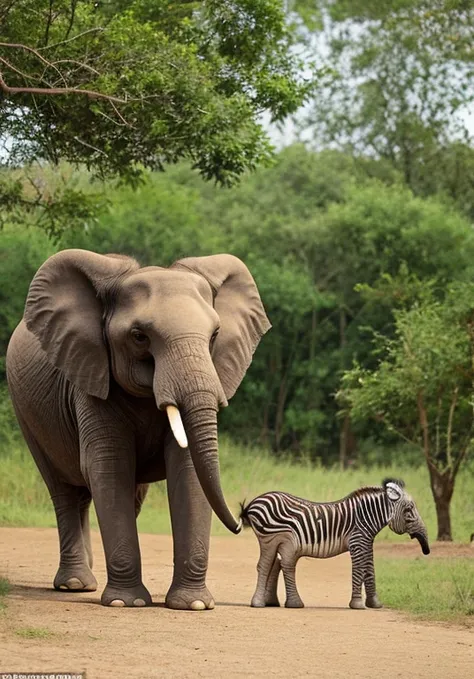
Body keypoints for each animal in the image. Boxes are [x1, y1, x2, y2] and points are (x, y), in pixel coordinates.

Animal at [6, 250, 270, 612]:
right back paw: (76, 584)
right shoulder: (91, 378)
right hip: (26, 414)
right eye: (139, 336)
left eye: (215, 334)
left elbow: (188, 469)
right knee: (64, 490)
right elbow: (109, 466)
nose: (241, 521)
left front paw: (193, 605)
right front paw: (125, 603)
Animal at [241, 478, 430, 612]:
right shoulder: (357, 542)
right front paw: (357, 604)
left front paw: (374, 603)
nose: (426, 550)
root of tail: (254, 502)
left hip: (281, 541)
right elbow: (360, 568)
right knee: (266, 565)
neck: (366, 516)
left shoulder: (367, 542)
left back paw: (279, 602)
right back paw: (260, 603)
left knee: (278, 564)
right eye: (408, 510)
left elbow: (370, 568)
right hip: (270, 538)